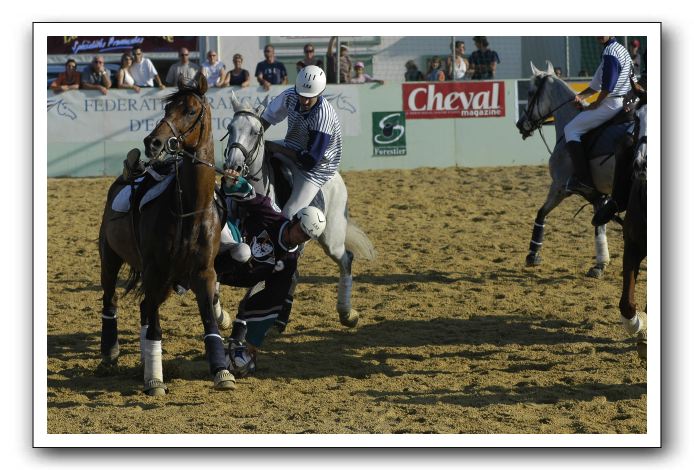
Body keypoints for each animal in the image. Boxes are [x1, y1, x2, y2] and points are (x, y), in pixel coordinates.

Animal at [98, 73, 236, 395]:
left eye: (190, 110)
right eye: (166, 109)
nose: (153, 141)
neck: (190, 211)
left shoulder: (203, 273)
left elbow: (210, 321)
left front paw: (221, 371)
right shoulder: (155, 270)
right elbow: (156, 326)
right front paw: (155, 380)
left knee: (145, 308)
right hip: (110, 259)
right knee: (112, 301)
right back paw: (110, 354)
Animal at [222, 92, 375, 328]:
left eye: (256, 131)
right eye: (230, 128)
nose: (234, 166)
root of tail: (336, 178)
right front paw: (222, 317)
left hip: (331, 238)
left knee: (345, 259)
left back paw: (347, 313)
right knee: (295, 272)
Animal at [516, 61, 635, 278]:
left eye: (529, 93)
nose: (520, 124)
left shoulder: (560, 186)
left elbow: (541, 213)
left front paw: (532, 255)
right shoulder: (598, 195)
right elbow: (599, 227)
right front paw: (600, 264)